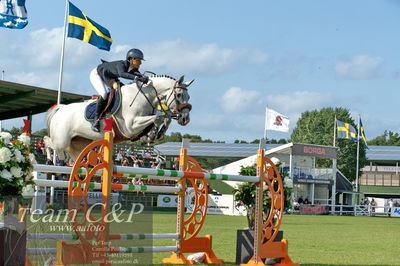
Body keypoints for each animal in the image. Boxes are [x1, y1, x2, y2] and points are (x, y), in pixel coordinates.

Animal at [45, 76, 192, 161]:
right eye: (179, 94)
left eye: (188, 96)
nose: (185, 119)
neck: (144, 96)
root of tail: (61, 108)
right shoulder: (130, 126)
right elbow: (159, 117)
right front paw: (152, 136)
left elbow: (163, 118)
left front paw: (153, 135)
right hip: (62, 140)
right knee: (49, 142)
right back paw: (54, 157)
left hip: (79, 143)